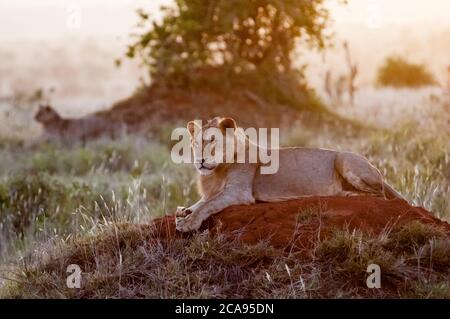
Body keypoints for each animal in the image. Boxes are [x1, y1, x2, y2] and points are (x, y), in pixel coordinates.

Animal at [175, 117, 404, 232]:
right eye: (195, 144)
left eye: (212, 142)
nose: (200, 160)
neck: (216, 171)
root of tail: (378, 171)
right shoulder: (214, 191)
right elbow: (201, 202)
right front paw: (183, 211)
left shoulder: (239, 192)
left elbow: (208, 205)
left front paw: (188, 223)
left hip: (344, 159)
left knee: (379, 195)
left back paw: (346, 194)